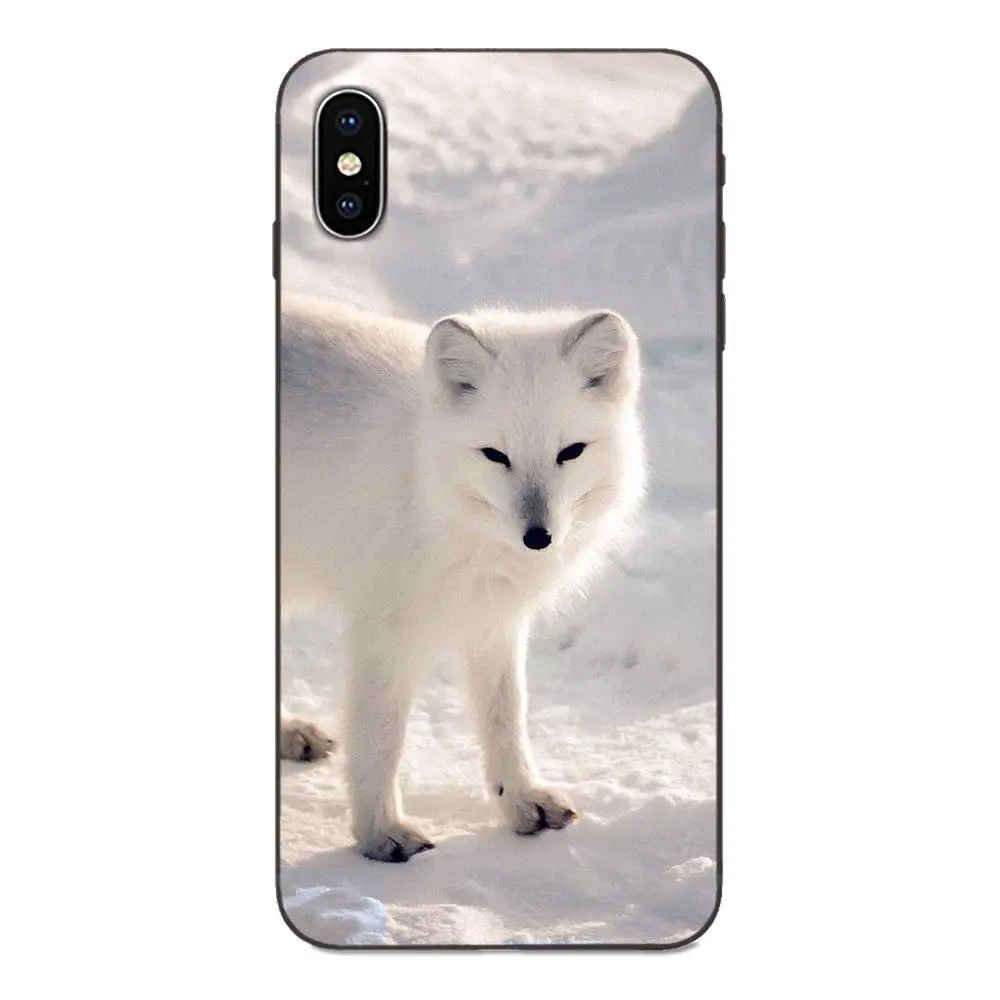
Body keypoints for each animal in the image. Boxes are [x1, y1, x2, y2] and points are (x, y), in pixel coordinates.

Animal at [279, 294, 646, 862]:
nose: (538, 537)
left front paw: (521, 801)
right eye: (495, 455)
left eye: (571, 451)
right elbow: (381, 736)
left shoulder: (492, 620)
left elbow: (505, 716)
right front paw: (380, 833)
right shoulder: (384, 630)